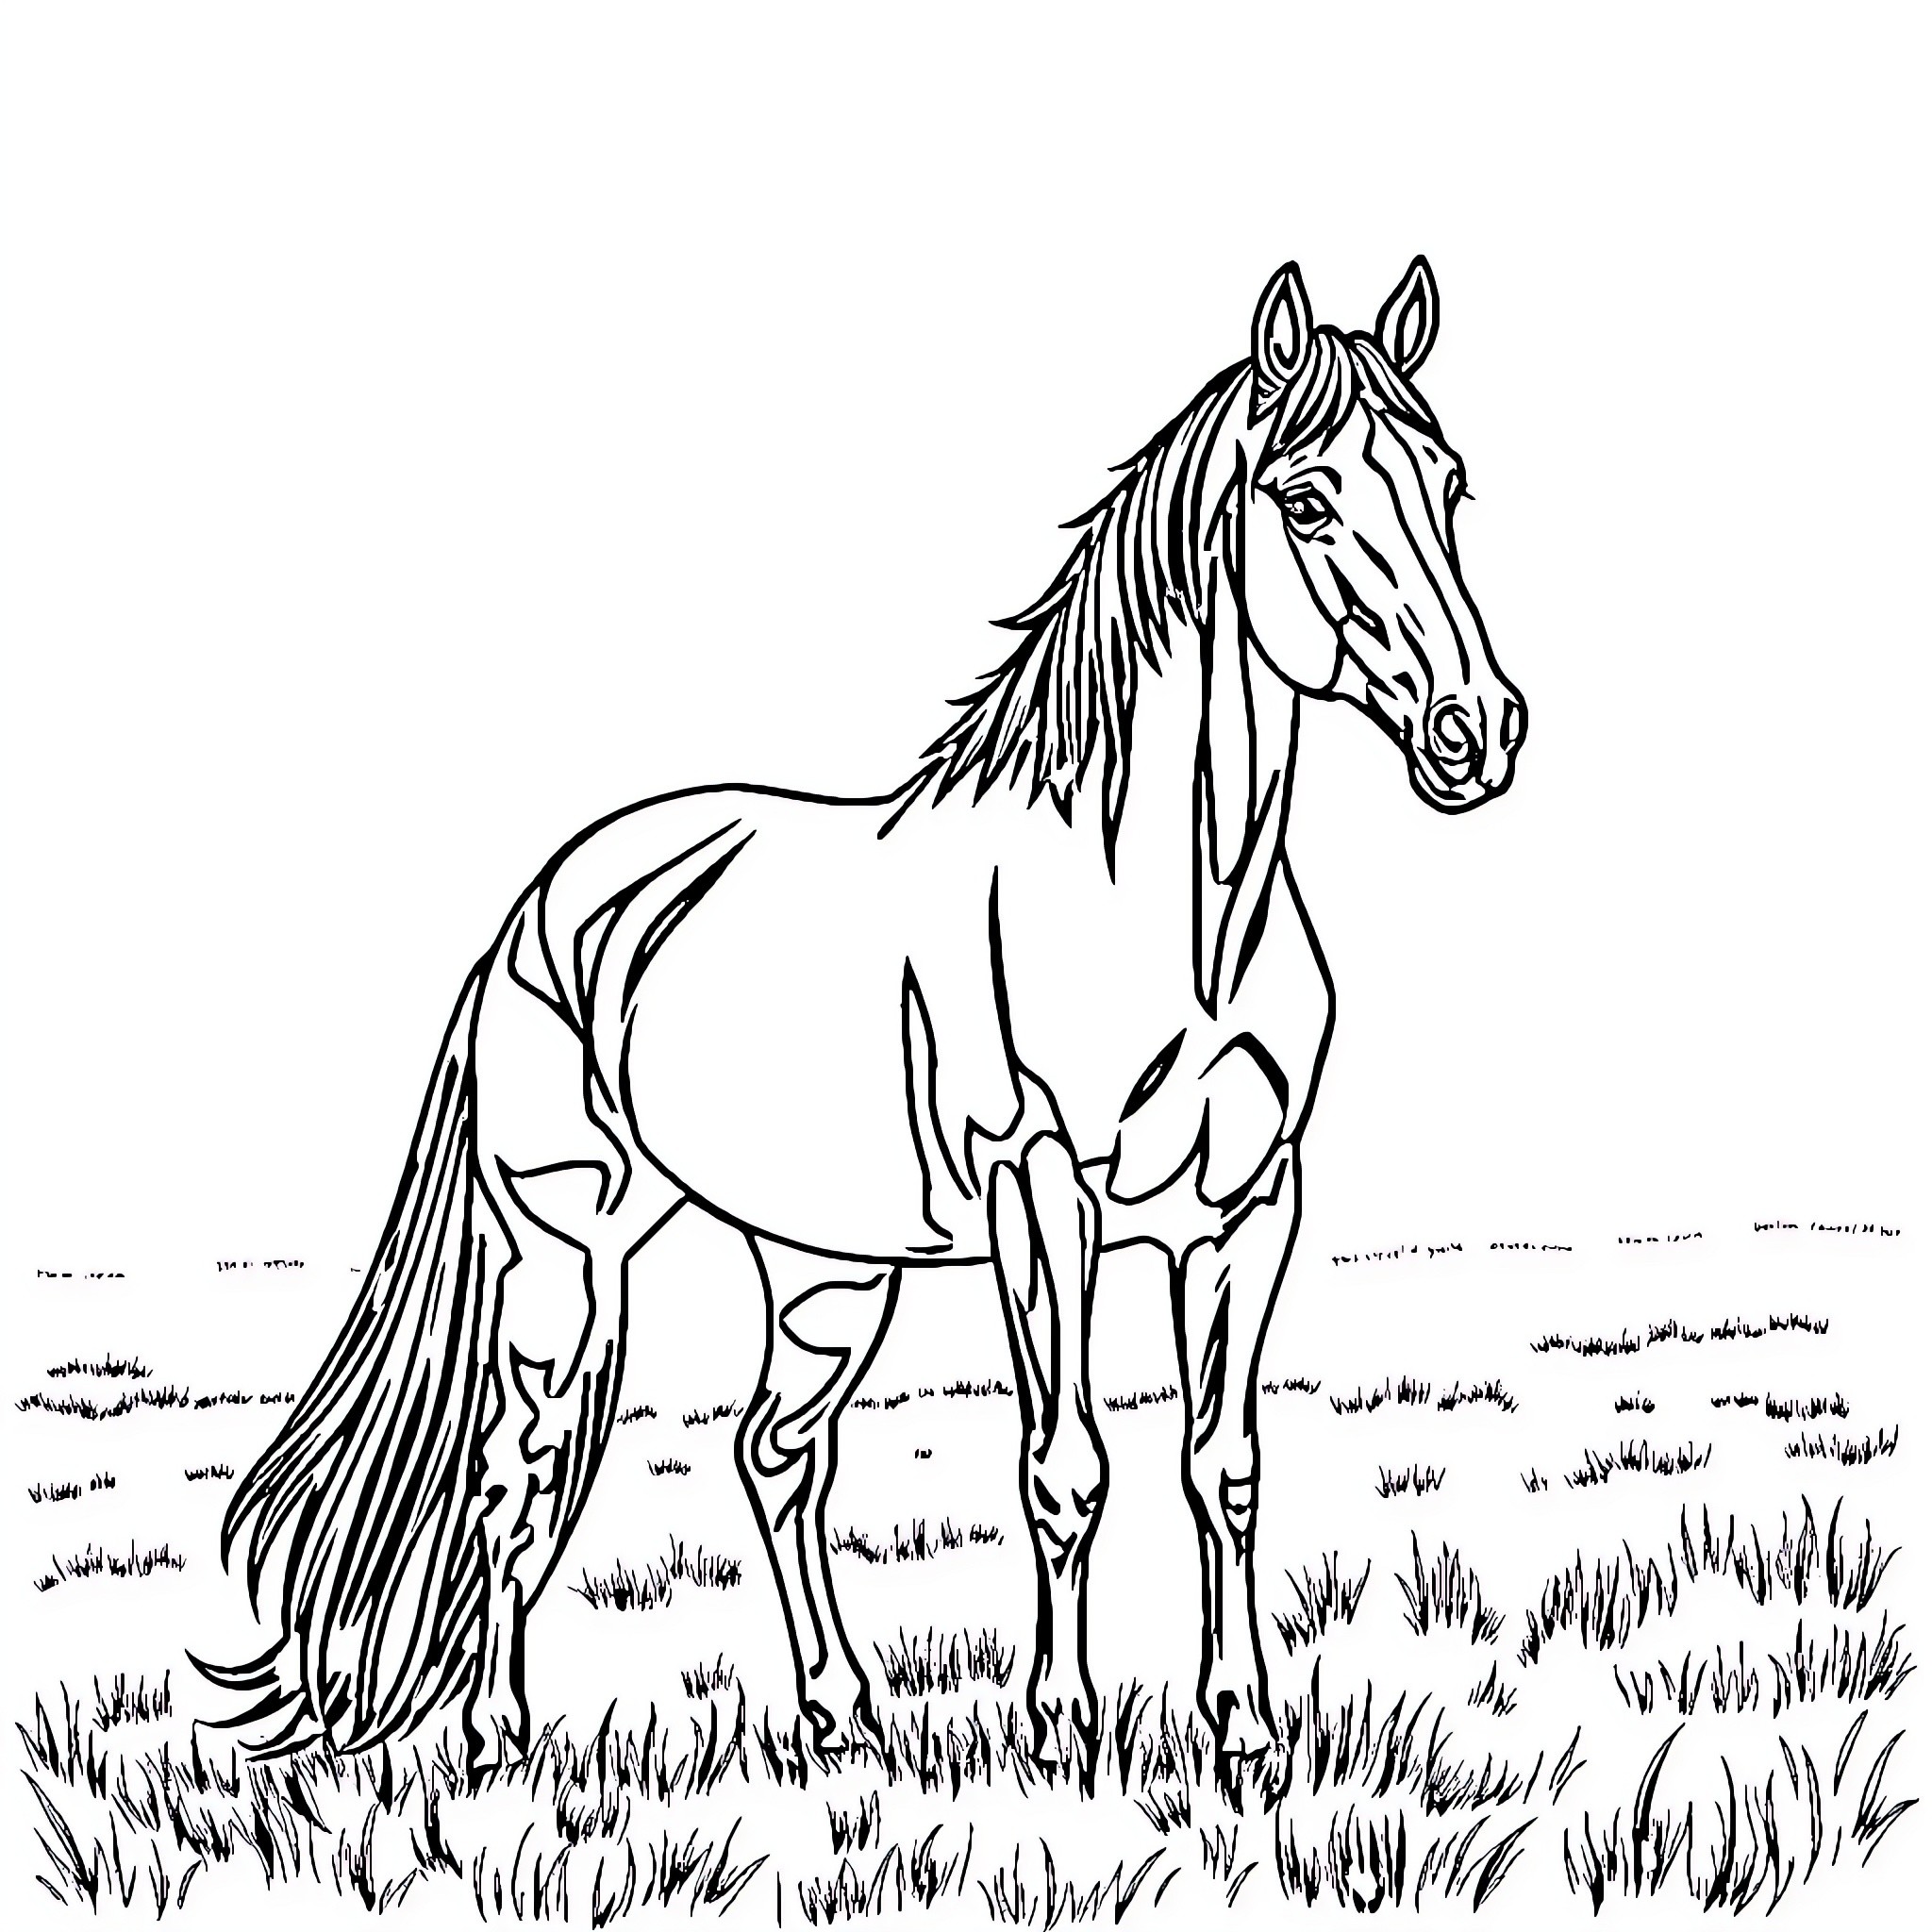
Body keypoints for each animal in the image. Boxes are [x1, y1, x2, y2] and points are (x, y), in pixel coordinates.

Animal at [202, 256, 1526, 1788]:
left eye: (1452, 485)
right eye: (1308, 501)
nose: (1479, 729)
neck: (1172, 908)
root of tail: (539, 905)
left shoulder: (1250, 1208)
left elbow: (1224, 1468)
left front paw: (1242, 1731)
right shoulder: (1043, 1191)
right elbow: (1065, 1467)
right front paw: (1066, 1733)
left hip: (823, 1272)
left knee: (771, 1455)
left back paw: (837, 1717)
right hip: (565, 1255)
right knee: (510, 1477)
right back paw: (494, 1736)